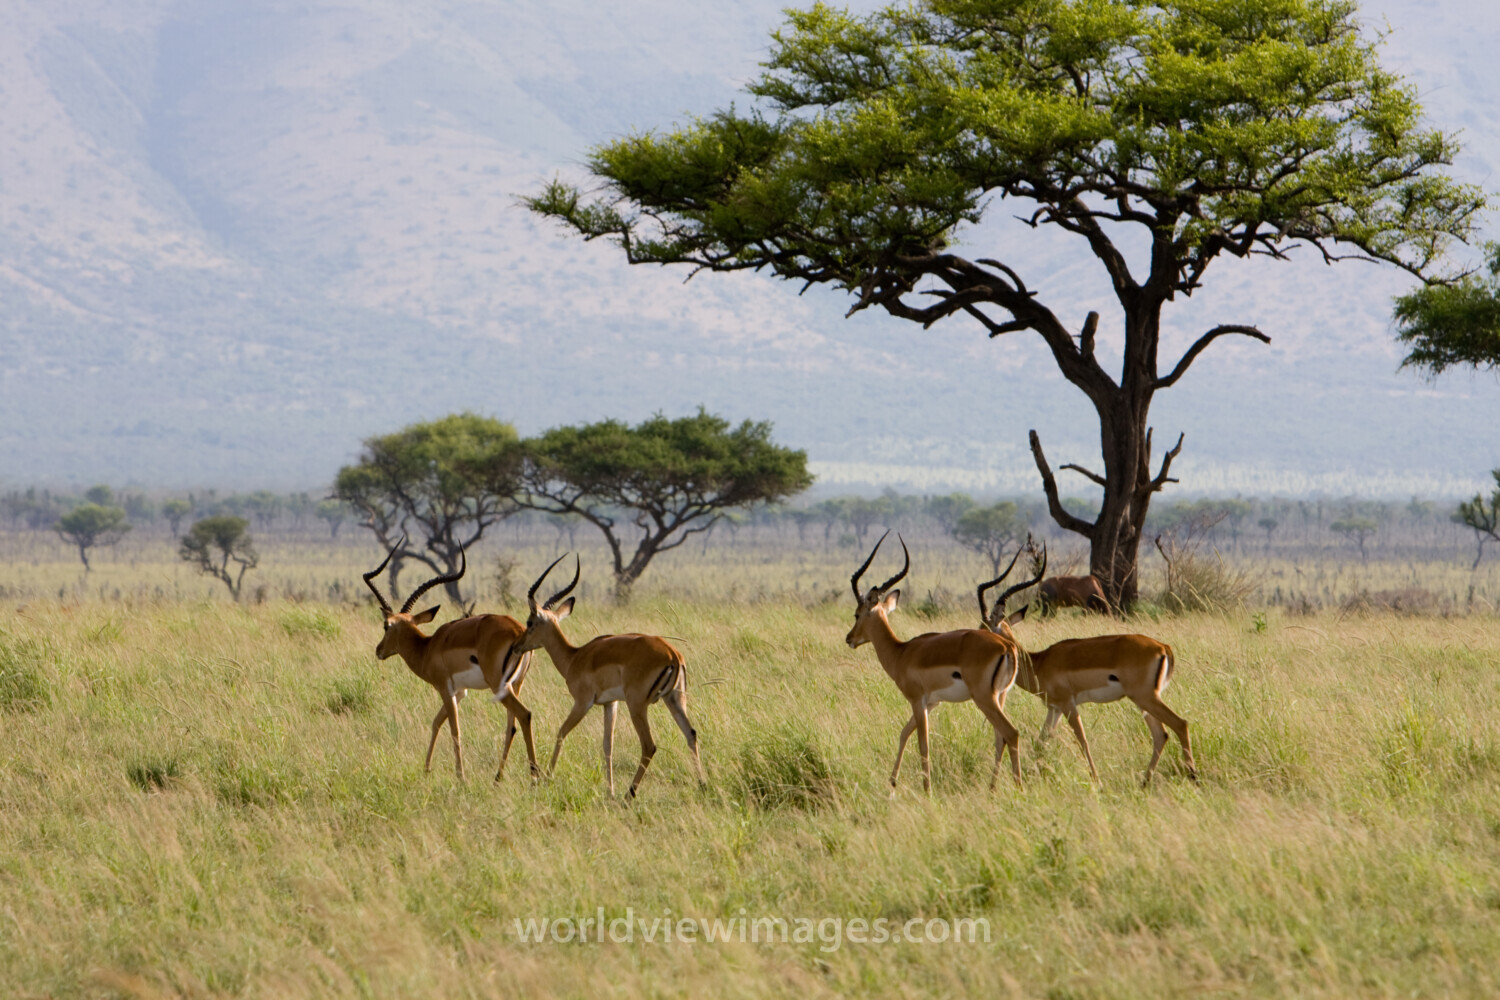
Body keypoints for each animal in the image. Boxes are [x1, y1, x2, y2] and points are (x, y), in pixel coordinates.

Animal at [363, 542, 539, 782]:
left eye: (386, 626)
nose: (379, 650)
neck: (428, 647)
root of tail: (518, 630)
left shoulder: (445, 689)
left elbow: (455, 730)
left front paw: (460, 776)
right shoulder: (460, 692)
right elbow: (436, 722)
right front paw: (427, 768)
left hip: (499, 686)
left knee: (524, 714)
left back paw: (535, 776)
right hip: (516, 684)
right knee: (511, 725)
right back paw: (498, 777)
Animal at [509, 555, 705, 798]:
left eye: (529, 622)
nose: (516, 646)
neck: (575, 657)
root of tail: (673, 654)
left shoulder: (583, 702)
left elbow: (561, 732)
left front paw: (546, 778)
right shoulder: (610, 704)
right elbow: (607, 745)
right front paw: (609, 790)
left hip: (637, 704)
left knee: (649, 745)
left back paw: (629, 794)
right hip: (674, 699)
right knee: (691, 734)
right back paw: (702, 785)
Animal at [845, 532, 1024, 793]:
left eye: (857, 614)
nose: (849, 638)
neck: (901, 652)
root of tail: (1006, 646)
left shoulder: (917, 701)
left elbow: (923, 745)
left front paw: (926, 789)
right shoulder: (931, 703)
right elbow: (903, 733)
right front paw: (892, 783)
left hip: (984, 698)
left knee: (1011, 733)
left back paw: (1019, 788)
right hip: (1000, 696)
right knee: (1000, 737)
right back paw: (993, 790)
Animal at [978, 541, 1199, 787]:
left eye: (984, 626)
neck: (1039, 663)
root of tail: (1163, 647)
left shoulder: (1069, 705)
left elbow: (1081, 740)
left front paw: (1096, 780)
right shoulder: (1054, 708)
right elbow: (1042, 740)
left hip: (1146, 697)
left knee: (1180, 724)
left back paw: (1193, 776)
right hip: (1145, 700)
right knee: (1161, 734)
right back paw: (1144, 782)